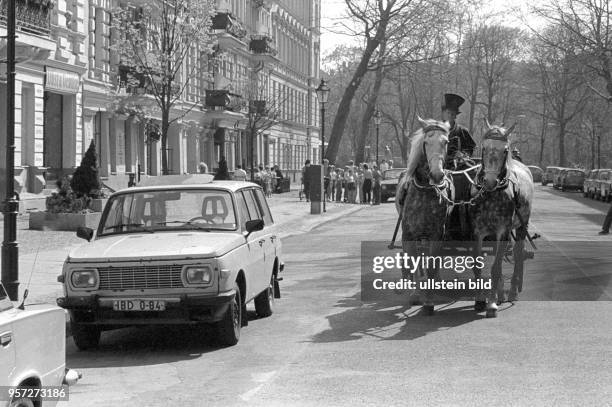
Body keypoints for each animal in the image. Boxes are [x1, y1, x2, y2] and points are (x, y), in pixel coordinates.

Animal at [394, 118, 452, 316]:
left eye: (446, 142)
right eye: (426, 143)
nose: (437, 174)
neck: (425, 191)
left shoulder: (437, 234)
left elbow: (433, 263)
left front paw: (430, 295)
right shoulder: (409, 235)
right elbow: (413, 260)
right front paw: (415, 294)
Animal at [470, 121, 532, 318]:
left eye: (505, 150)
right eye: (484, 147)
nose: (489, 181)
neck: (492, 194)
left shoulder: (503, 231)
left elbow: (496, 268)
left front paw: (491, 304)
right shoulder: (477, 231)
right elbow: (478, 265)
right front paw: (480, 299)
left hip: (521, 225)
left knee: (518, 253)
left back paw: (512, 291)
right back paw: (500, 292)